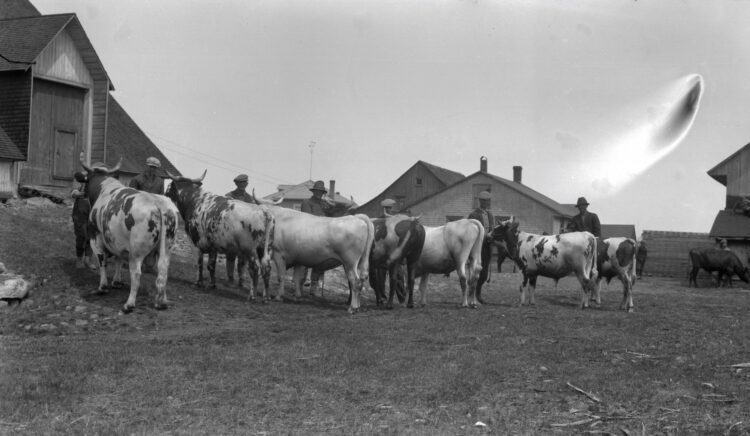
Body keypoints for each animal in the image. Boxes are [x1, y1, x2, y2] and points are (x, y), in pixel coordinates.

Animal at [80, 157, 180, 313]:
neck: (103, 188)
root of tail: (158, 203)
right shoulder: (118, 242)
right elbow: (119, 260)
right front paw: (117, 281)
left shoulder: (96, 238)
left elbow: (103, 262)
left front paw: (103, 287)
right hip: (166, 248)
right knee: (163, 270)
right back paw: (161, 303)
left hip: (136, 252)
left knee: (136, 274)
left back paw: (129, 304)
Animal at [164, 171, 276, 300]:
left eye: (169, 185)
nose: (165, 192)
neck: (196, 201)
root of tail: (263, 210)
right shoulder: (213, 246)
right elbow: (211, 265)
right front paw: (212, 284)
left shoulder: (195, 243)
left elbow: (199, 263)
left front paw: (198, 283)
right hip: (266, 248)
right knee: (267, 268)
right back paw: (266, 297)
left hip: (250, 249)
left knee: (255, 268)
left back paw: (252, 295)